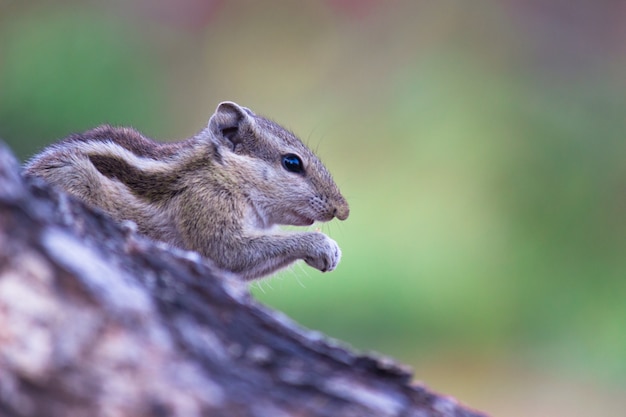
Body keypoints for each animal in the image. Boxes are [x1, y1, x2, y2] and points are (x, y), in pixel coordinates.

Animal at [23, 101, 346, 280]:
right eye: (292, 162)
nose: (343, 210)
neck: (222, 173)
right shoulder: (205, 203)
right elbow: (227, 252)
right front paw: (321, 245)